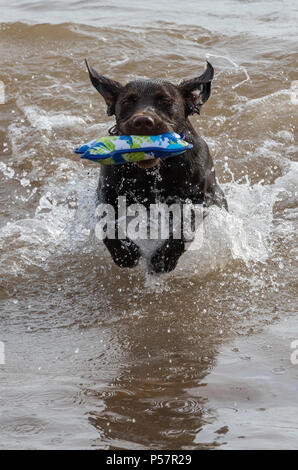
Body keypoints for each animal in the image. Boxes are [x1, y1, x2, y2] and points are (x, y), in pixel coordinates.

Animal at [85, 59, 227, 272]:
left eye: (165, 101)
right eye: (127, 101)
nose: (143, 121)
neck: (152, 171)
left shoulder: (199, 198)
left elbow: (185, 227)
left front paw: (163, 258)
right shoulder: (107, 191)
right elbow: (106, 222)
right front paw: (125, 253)